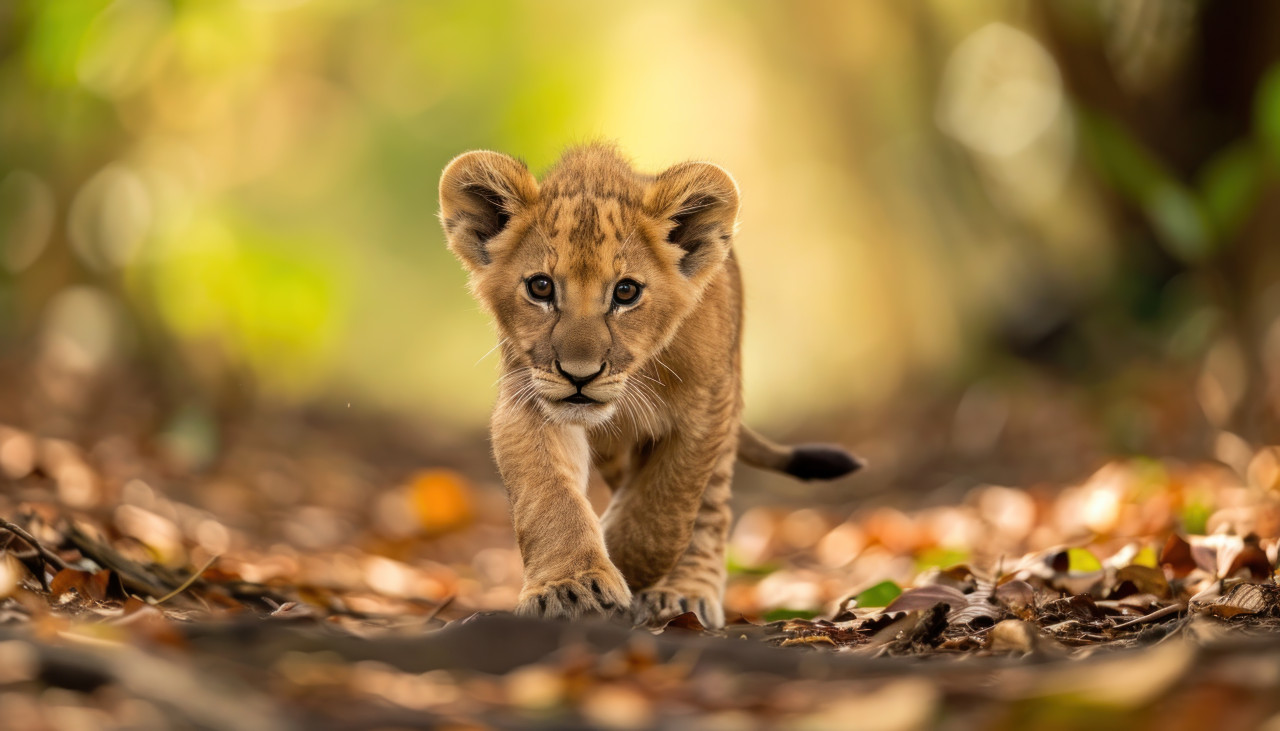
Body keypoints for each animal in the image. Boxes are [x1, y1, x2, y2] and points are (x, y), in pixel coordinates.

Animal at [438, 145, 860, 628]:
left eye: (626, 292)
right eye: (540, 287)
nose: (579, 375)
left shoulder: (706, 410)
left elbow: (663, 511)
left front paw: (622, 558)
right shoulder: (529, 398)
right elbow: (549, 495)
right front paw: (573, 587)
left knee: (708, 511)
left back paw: (684, 593)